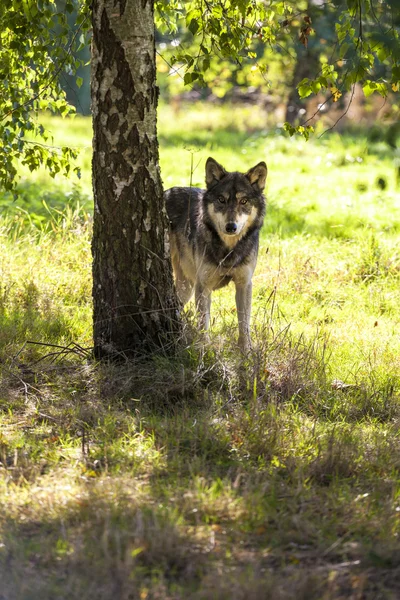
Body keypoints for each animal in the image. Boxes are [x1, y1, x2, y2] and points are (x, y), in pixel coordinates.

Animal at [164, 157, 268, 350]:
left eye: (244, 201)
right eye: (221, 199)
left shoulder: (244, 284)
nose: (231, 227)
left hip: (186, 288)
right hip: (189, 286)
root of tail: (166, 192)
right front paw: (204, 351)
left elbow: (244, 325)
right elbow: (203, 324)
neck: (228, 251)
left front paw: (246, 353)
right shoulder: (203, 286)